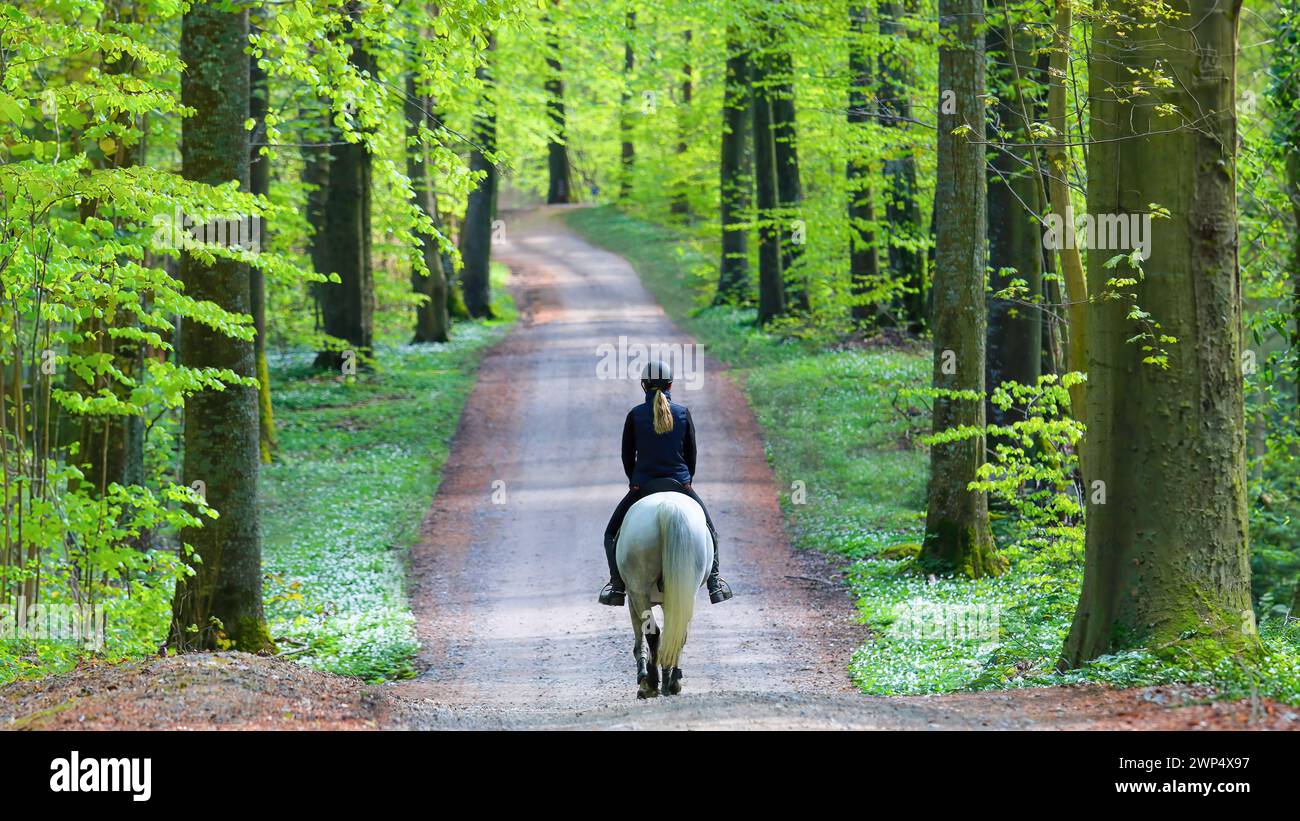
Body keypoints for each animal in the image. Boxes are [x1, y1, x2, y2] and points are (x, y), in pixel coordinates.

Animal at [616, 491, 712, 696]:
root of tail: (668, 507)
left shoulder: (633, 595)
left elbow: (640, 633)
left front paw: (643, 676)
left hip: (639, 588)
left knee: (653, 632)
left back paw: (651, 684)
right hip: (686, 591)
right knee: (677, 632)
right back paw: (672, 682)